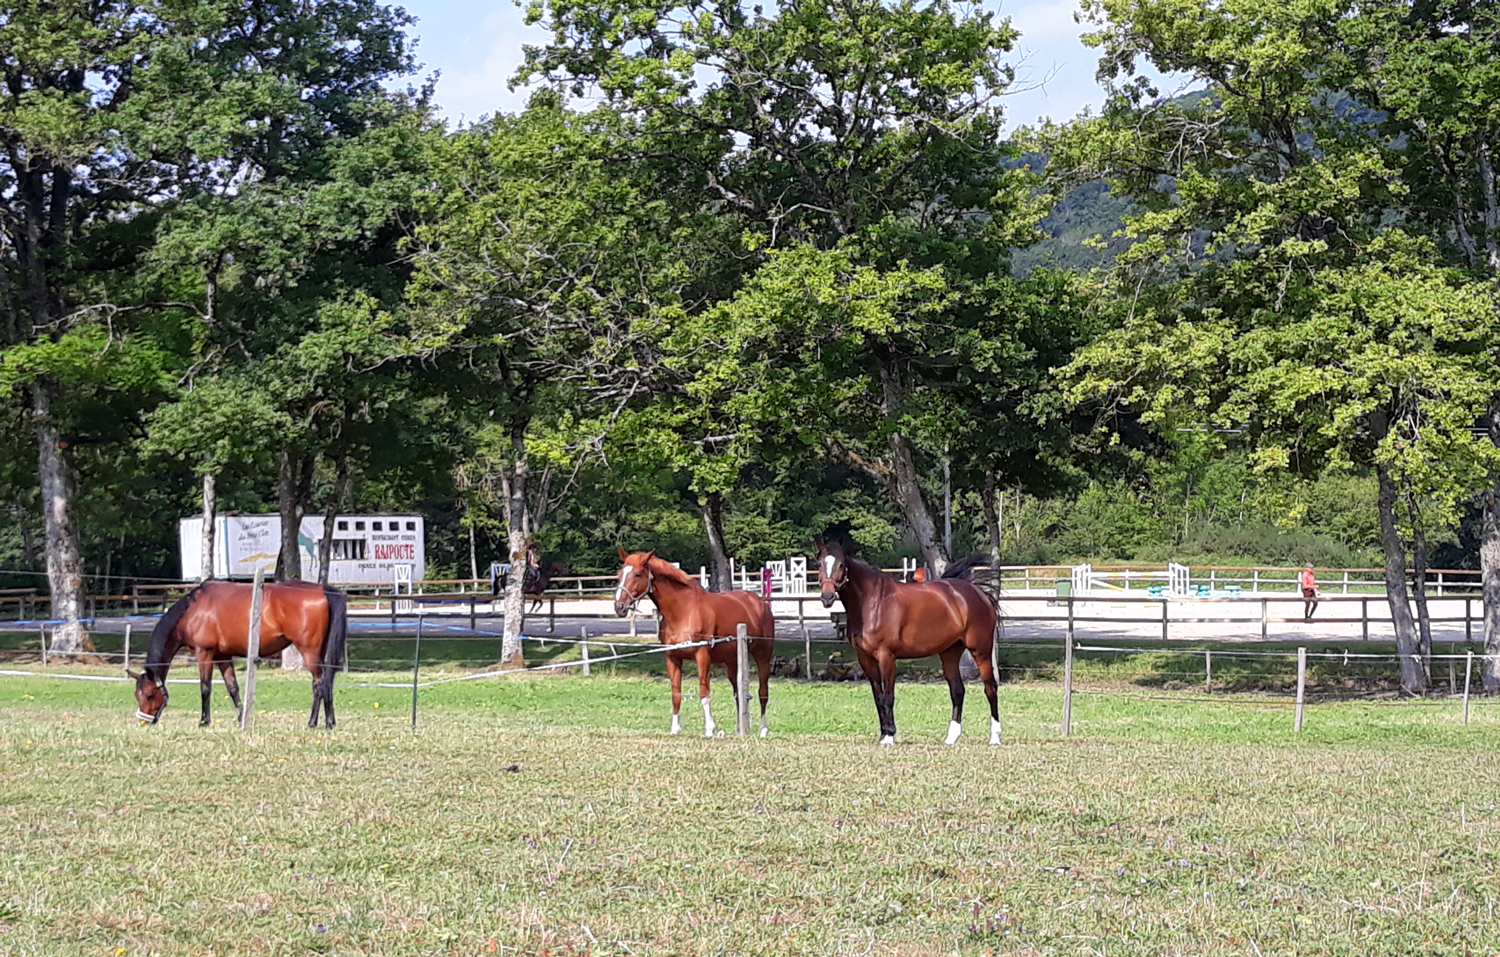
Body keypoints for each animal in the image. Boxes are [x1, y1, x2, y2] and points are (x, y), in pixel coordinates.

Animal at [128, 582, 348, 732]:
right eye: (137, 695)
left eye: (149, 694)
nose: (143, 721)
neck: (193, 611)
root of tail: (322, 589)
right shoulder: (223, 656)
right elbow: (232, 688)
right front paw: (241, 718)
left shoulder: (204, 653)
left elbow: (205, 688)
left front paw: (204, 721)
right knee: (324, 683)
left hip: (309, 652)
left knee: (320, 684)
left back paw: (317, 722)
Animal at [612, 546, 780, 744]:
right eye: (620, 574)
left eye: (637, 574)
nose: (619, 607)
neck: (683, 611)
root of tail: (759, 602)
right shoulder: (672, 658)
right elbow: (676, 694)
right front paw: (675, 728)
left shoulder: (702, 656)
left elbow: (704, 693)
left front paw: (709, 729)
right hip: (732, 662)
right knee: (738, 693)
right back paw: (740, 728)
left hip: (763, 656)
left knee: (763, 692)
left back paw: (763, 729)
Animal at [816, 540, 1002, 750]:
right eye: (820, 563)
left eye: (841, 565)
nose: (827, 597)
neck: (872, 603)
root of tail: (978, 593)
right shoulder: (865, 658)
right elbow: (878, 697)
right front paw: (883, 734)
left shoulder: (886, 657)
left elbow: (888, 696)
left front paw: (889, 736)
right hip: (950, 653)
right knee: (957, 691)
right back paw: (951, 737)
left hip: (981, 651)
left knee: (990, 689)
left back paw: (995, 737)